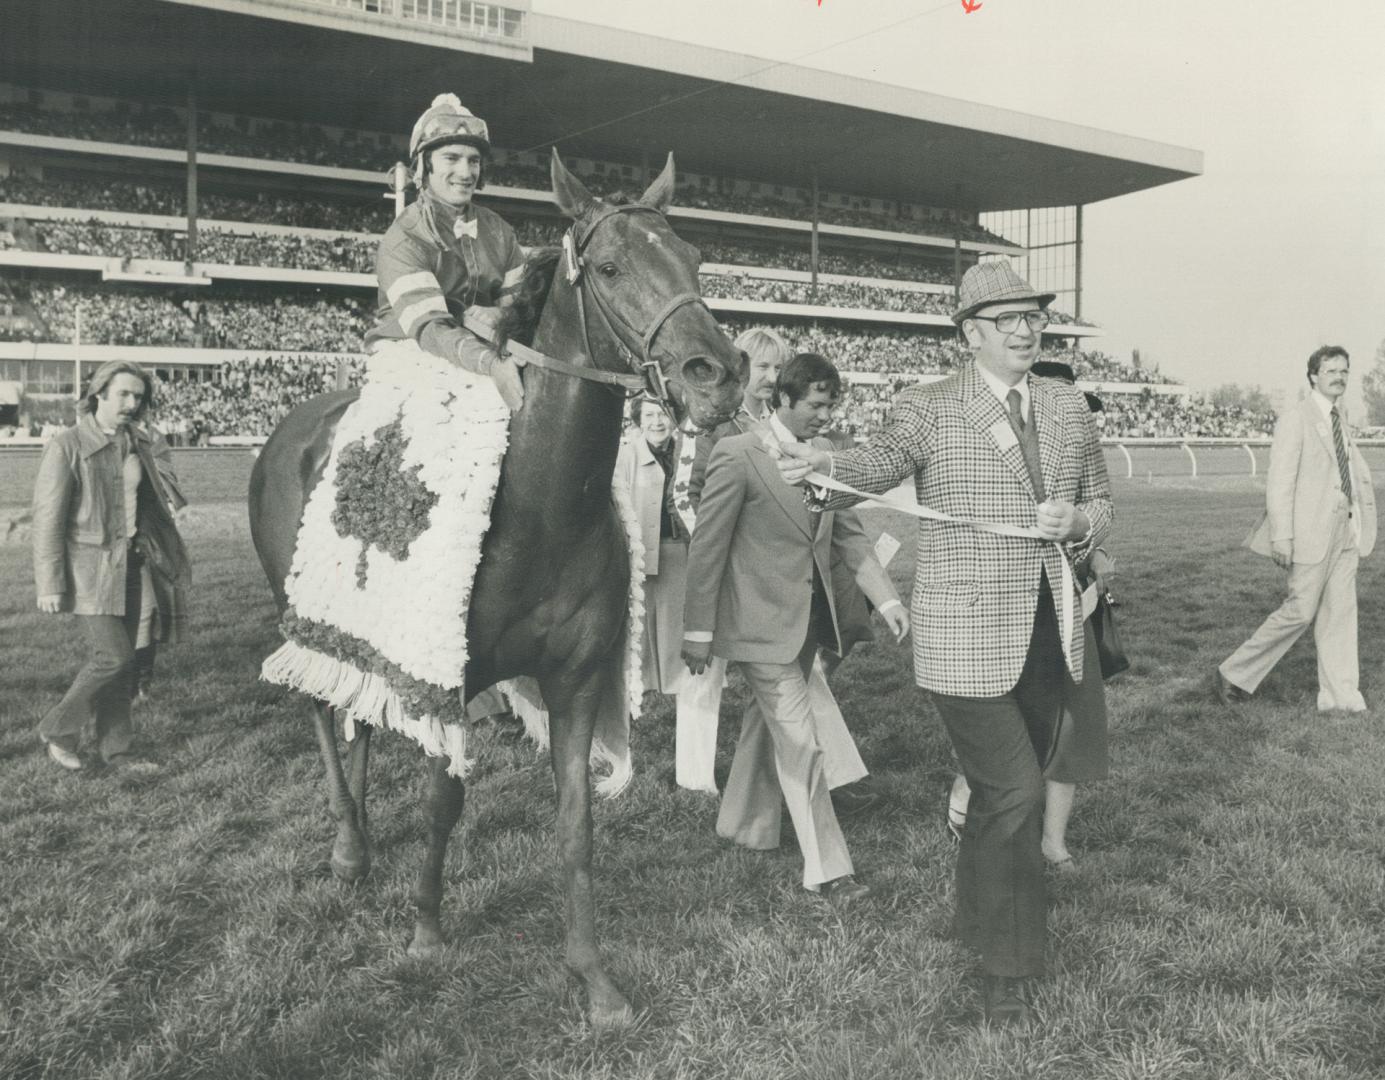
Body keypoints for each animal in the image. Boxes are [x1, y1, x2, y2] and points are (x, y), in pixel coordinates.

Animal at [249, 149, 747, 1019]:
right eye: (610, 267)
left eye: (693, 258)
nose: (715, 375)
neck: (540, 506)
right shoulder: (452, 674)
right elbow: (444, 802)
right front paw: (425, 928)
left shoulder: (576, 677)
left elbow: (576, 821)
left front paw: (593, 978)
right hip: (298, 600)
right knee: (319, 706)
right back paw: (347, 842)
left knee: (359, 710)